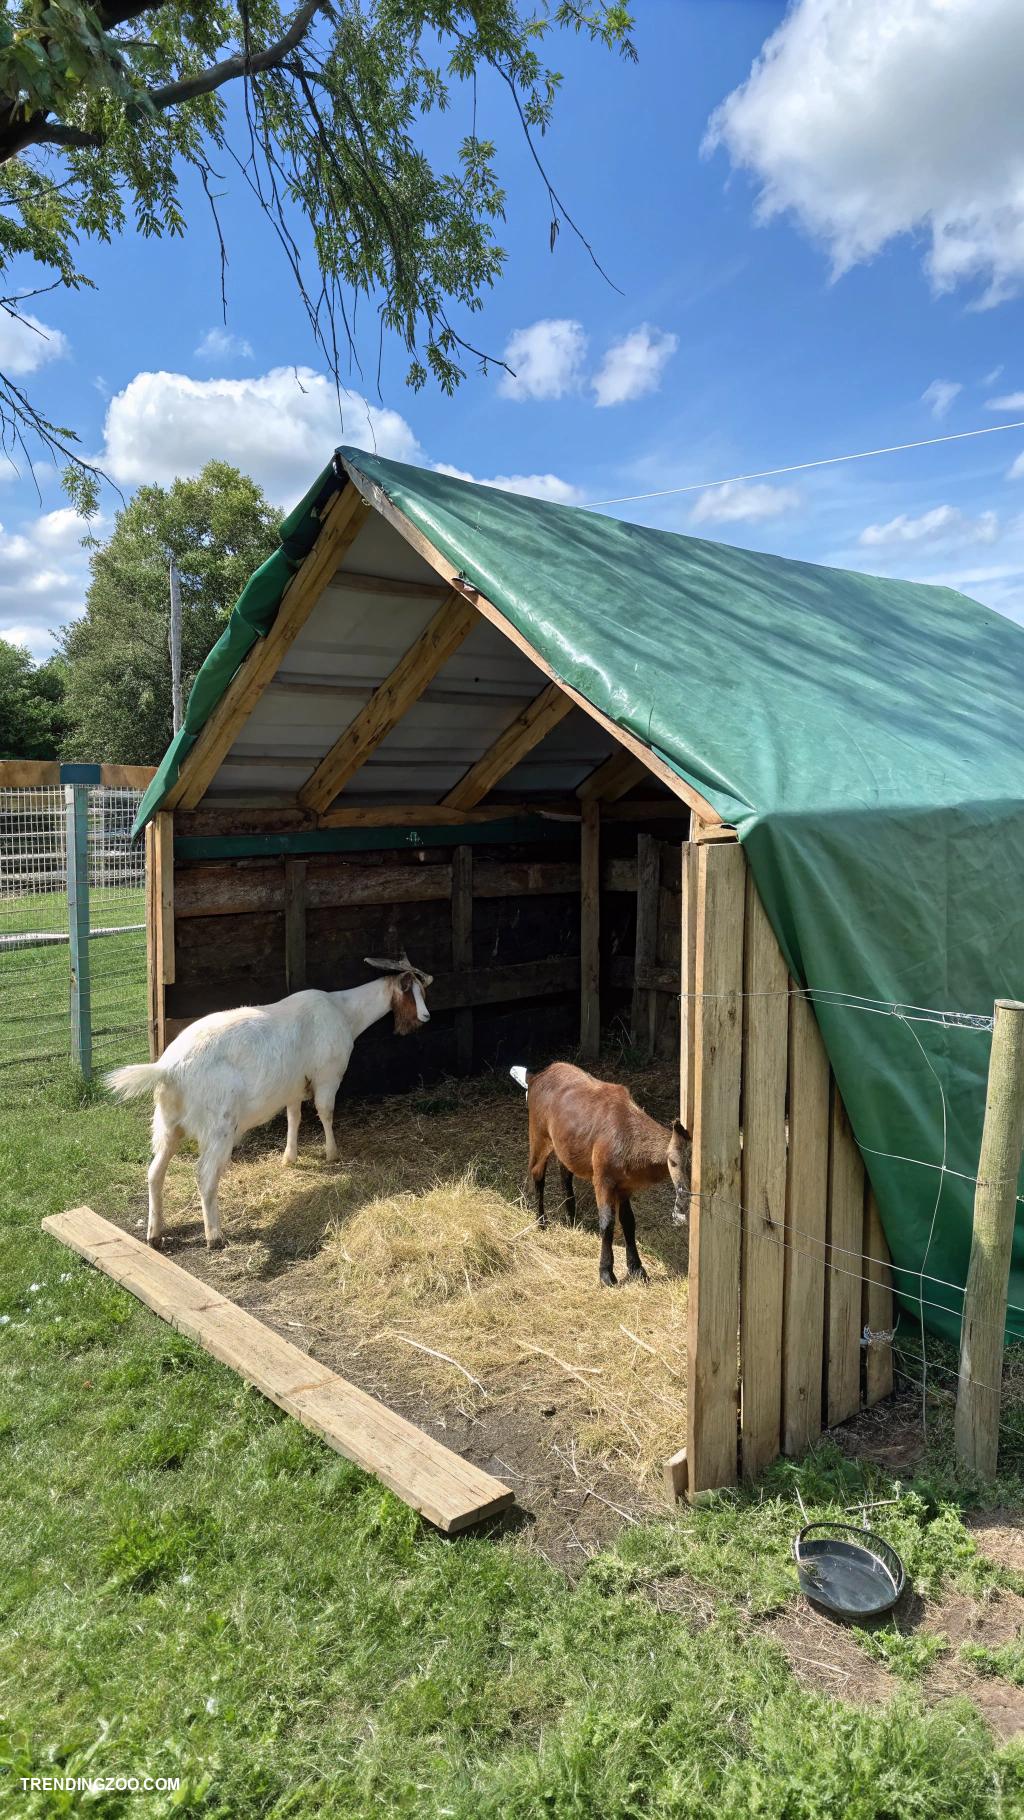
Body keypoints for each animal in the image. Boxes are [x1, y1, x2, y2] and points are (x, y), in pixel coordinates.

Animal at [106, 954, 432, 1251]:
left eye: (422, 989)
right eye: (410, 990)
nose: (427, 1017)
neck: (344, 1011)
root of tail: (168, 1068)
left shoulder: (293, 1086)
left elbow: (294, 1117)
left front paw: (290, 1157)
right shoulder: (328, 1075)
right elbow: (326, 1112)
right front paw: (332, 1153)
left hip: (167, 1124)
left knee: (154, 1173)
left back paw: (155, 1234)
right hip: (218, 1126)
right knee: (204, 1175)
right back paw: (215, 1236)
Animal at [510, 1061, 690, 1287]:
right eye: (673, 1162)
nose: (684, 1198)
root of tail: (535, 1078)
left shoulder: (625, 1186)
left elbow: (629, 1222)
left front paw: (637, 1269)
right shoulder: (603, 1179)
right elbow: (607, 1223)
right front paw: (606, 1274)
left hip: (564, 1145)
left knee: (565, 1174)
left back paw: (571, 1219)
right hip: (539, 1135)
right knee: (537, 1174)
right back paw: (541, 1222)